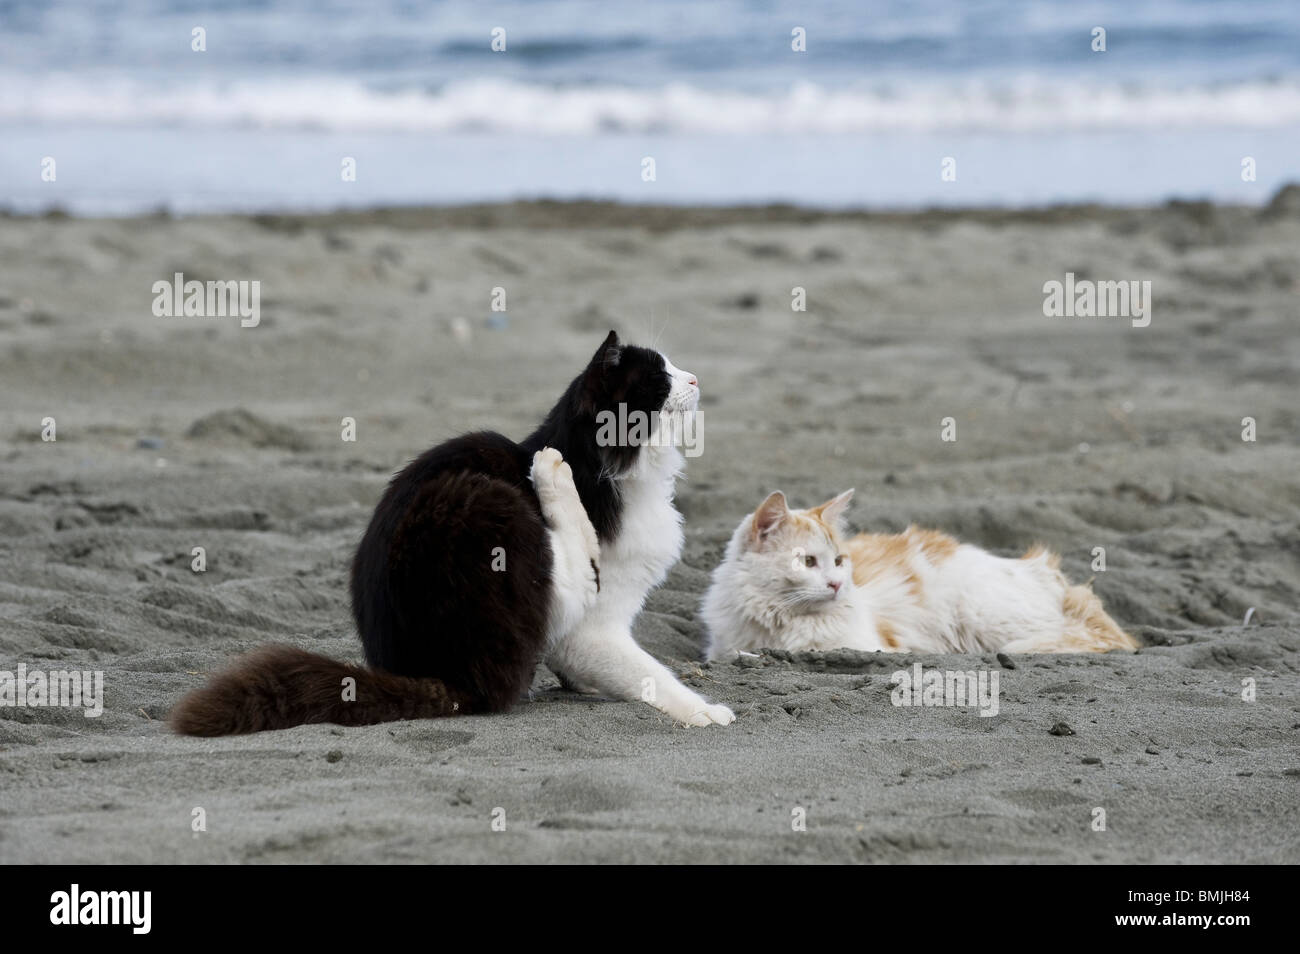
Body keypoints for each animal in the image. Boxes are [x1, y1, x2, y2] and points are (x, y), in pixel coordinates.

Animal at [171, 332, 733, 738]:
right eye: (660, 377)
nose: (696, 378)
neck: (603, 466)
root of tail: (442, 677)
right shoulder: (594, 628)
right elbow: (649, 672)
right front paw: (701, 710)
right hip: (488, 501)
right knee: (566, 575)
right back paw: (550, 473)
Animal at [702, 488, 1138, 660]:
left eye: (839, 561)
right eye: (808, 562)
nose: (838, 584)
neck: (780, 622)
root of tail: (1041, 567)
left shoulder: (869, 645)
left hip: (985, 615)